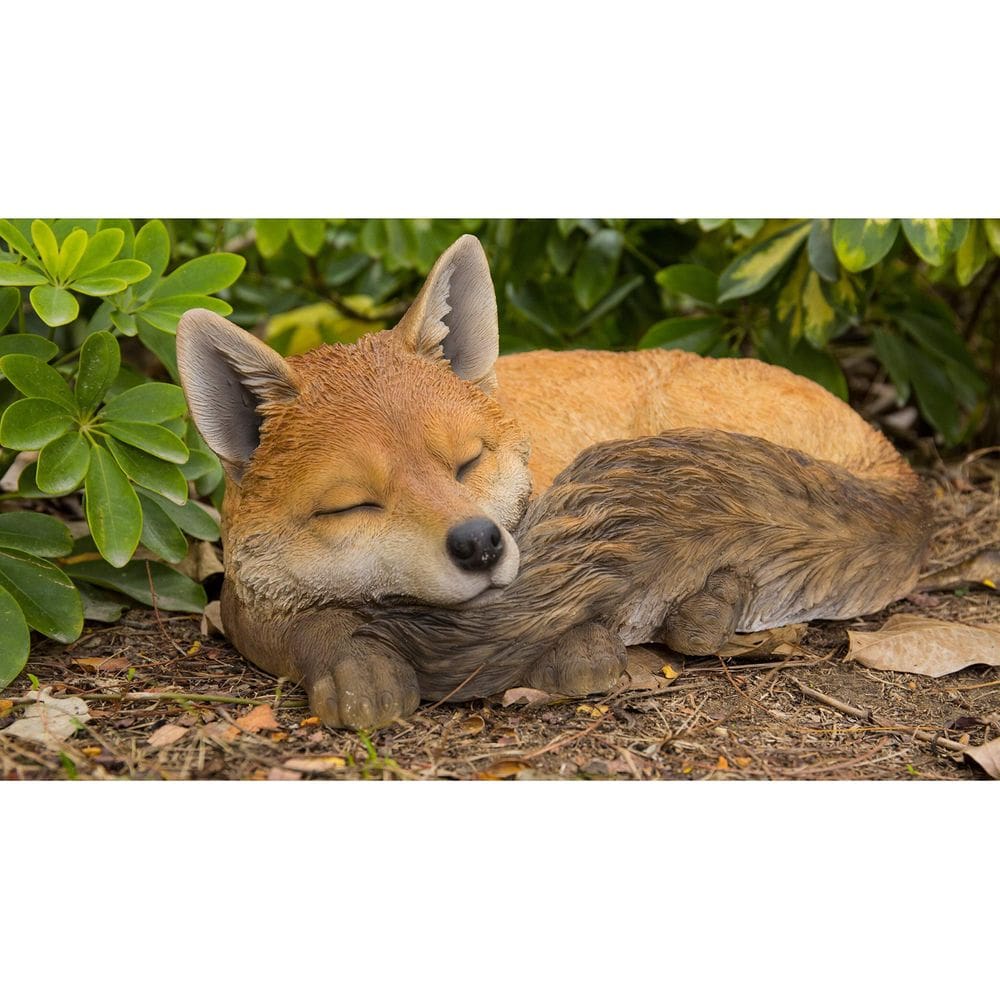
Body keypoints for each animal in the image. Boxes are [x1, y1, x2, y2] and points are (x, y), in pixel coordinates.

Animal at [176, 234, 927, 728]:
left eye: (467, 463)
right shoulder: (244, 603)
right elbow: (307, 631)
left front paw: (577, 652)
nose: (479, 544)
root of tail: (887, 454)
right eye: (352, 505)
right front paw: (354, 667)